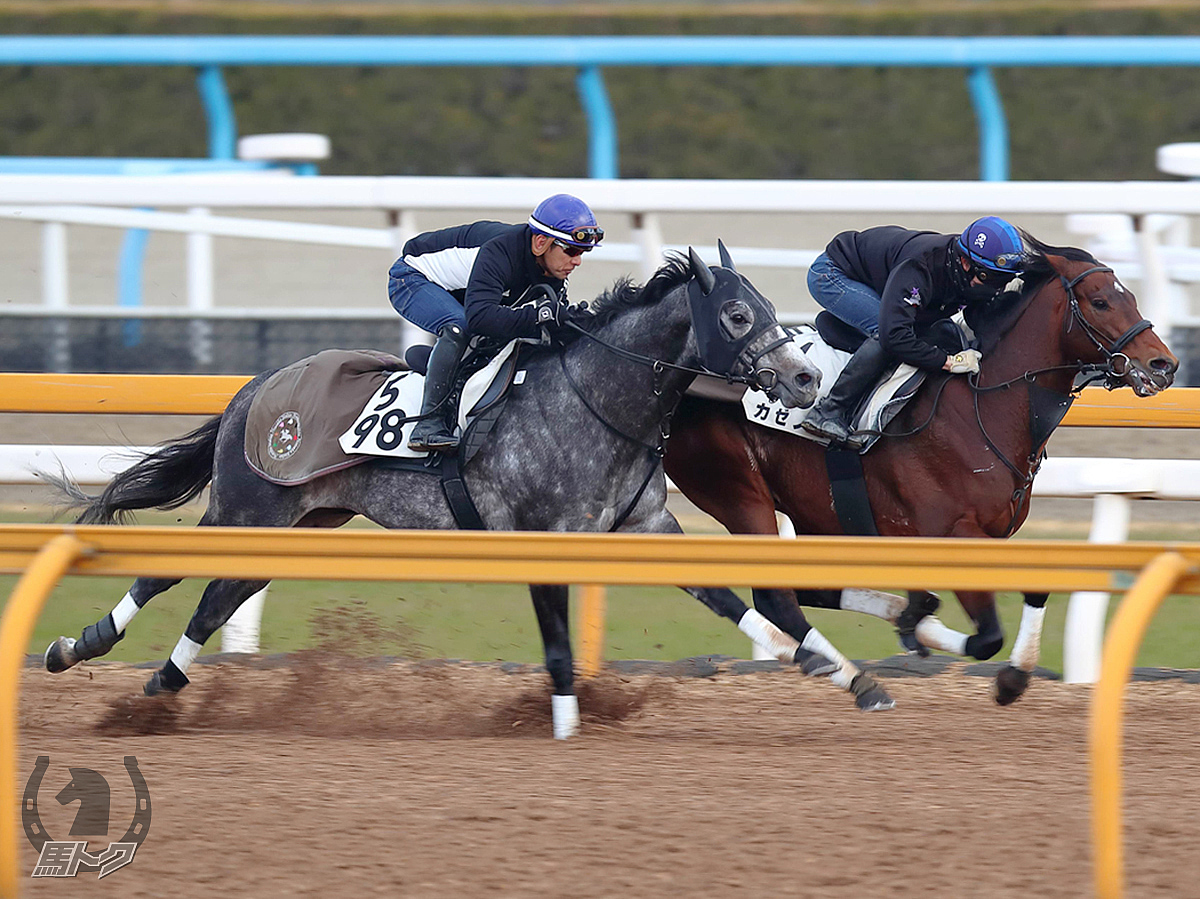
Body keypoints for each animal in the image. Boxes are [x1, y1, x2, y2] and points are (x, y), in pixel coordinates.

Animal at [46, 246, 864, 734]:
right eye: (738, 313)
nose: (805, 379)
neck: (596, 397)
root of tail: (254, 388)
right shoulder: (542, 540)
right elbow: (558, 647)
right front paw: (564, 728)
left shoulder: (644, 531)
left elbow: (733, 599)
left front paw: (840, 671)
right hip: (250, 506)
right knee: (167, 572)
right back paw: (77, 647)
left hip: (304, 518)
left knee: (223, 594)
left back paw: (162, 681)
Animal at [667, 238, 1180, 700]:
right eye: (1100, 300)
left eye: (1131, 297)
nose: (1164, 364)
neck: (980, 404)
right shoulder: (951, 533)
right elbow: (987, 636)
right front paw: (997, 672)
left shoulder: (992, 537)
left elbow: (1034, 590)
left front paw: (938, 631)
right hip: (740, 494)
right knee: (776, 594)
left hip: (809, 510)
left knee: (809, 589)